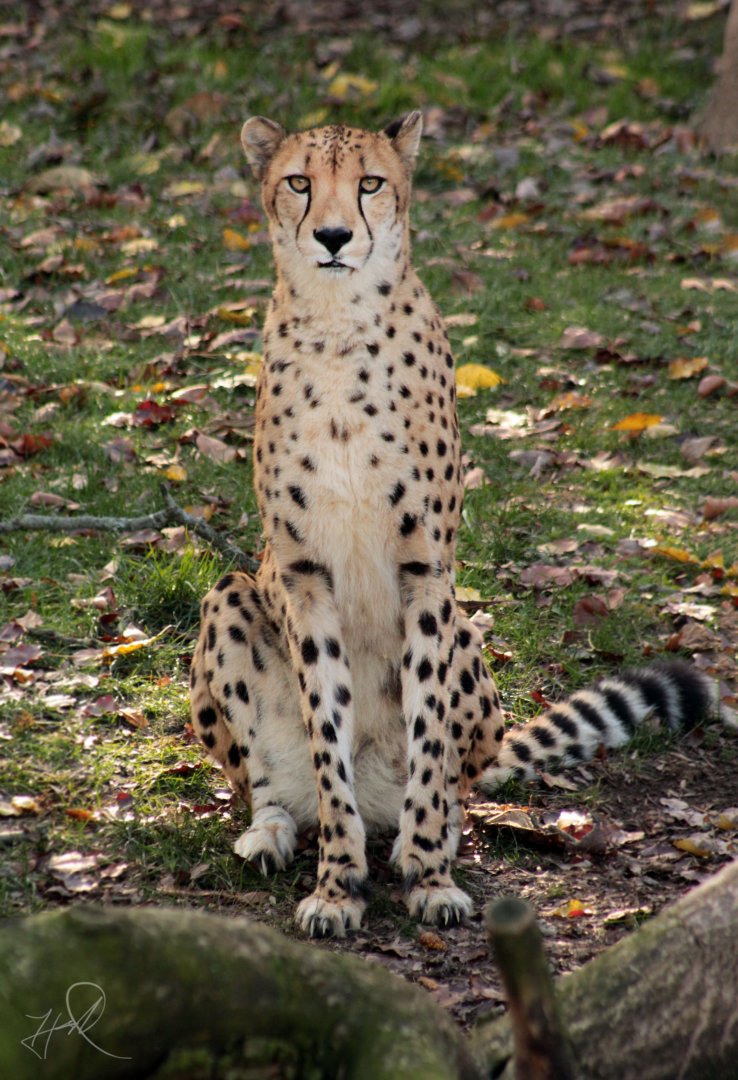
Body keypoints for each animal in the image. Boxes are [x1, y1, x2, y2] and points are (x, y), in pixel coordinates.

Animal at [189, 111, 731, 938]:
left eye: (370, 183)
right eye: (299, 182)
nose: (335, 236)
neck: (339, 327)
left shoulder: (425, 571)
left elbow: (427, 727)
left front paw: (428, 875)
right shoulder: (305, 577)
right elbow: (328, 742)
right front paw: (338, 884)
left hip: (466, 630)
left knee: (455, 783)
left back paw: (426, 833)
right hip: (230, 594)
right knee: (275, 785)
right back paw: (272, 832)